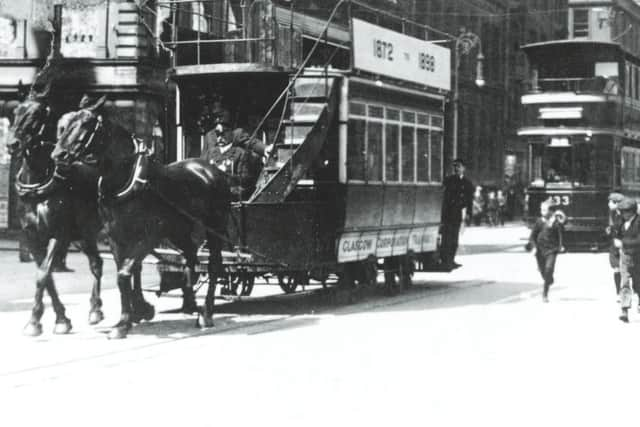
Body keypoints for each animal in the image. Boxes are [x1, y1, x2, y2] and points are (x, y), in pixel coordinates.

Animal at [53, 98, 231, 342]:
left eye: (87, 124)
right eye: (64, 125)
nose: (58, 155)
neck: (126, 178)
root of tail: (211, 169)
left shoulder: (148, 237)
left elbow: (125, 274)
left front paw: (125, 321)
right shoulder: (116, 238)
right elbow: (125, 275)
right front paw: (132, 314)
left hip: (214, 228)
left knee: (213, 265)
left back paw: (206, 313)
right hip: (178, 230)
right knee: (191, 257)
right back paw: (189, 303)